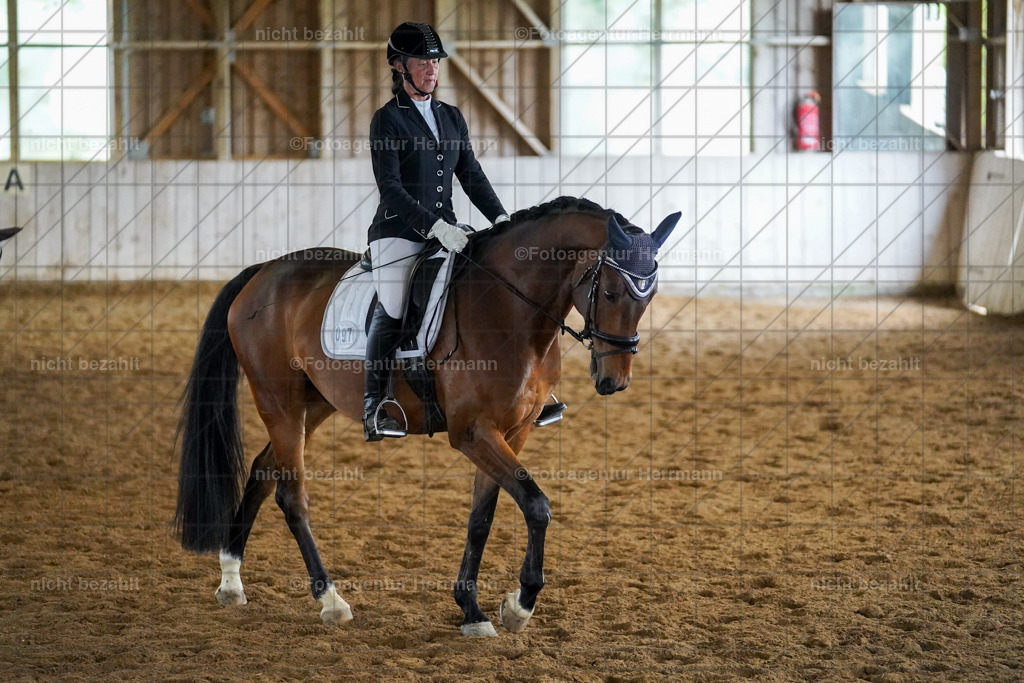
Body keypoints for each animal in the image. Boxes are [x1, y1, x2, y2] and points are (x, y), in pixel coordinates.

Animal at [173, 196, 680, 635]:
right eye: (610, 291)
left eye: (649, 296)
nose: (614, 381)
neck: (509, 308)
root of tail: (264, 271)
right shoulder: (473, 433)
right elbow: (537, 505)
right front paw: (519, 605)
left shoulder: (512, 432)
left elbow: (483, 517)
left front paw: (472, 609)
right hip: (279, 402)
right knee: (291, 496)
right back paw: (330, 600)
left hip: (312, 405)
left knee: (262, 473)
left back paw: (231, 580)